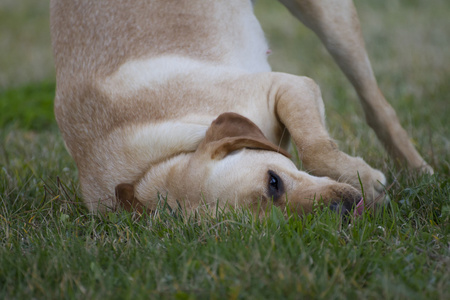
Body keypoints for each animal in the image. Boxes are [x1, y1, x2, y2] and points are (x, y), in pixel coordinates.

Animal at [49, 0, 432, 216]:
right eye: (271, 227)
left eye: (273, 181)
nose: (341, 213)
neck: (152, 166)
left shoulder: (287, 87)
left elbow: (315, 149)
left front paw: (366, 179)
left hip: (331, 21)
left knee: (376, 105)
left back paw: (417, 169)